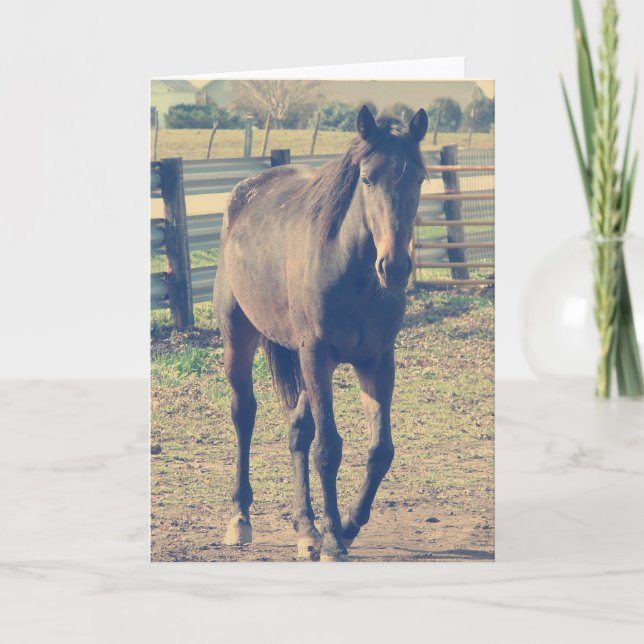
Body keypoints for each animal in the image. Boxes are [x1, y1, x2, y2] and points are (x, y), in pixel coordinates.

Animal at [213, 105, 428, 561]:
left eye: (419, 178)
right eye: (367, 179)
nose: (395, 267)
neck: (354, 273)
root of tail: (244, 192)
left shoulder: (377, 362)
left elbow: (380, 450)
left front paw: (346, 526)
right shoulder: (318, 355)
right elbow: (328, 449)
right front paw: (333, 540)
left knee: (298, 429)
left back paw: (305, 529)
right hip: (238, 339)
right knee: (244, 414)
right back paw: (241, 520)